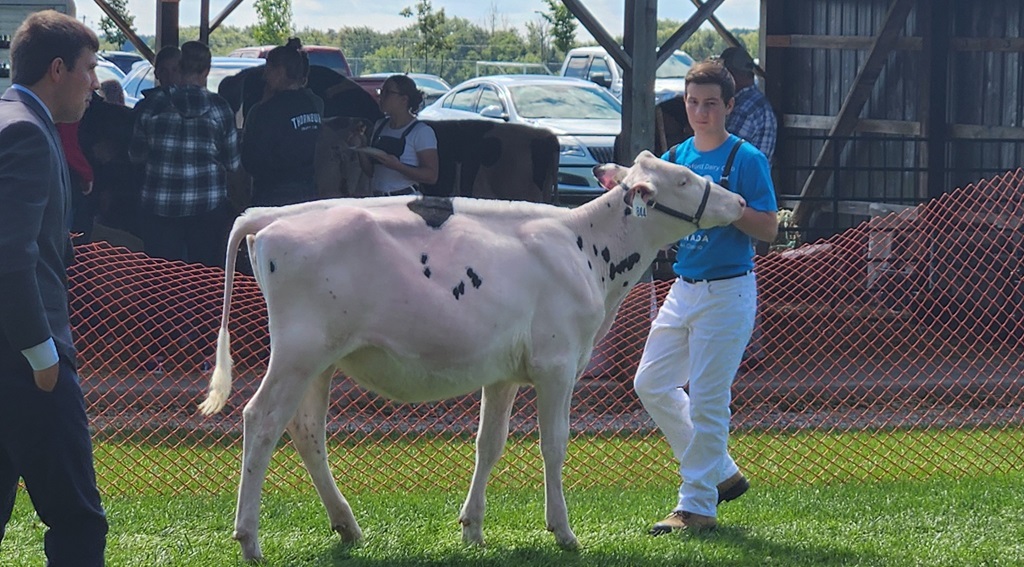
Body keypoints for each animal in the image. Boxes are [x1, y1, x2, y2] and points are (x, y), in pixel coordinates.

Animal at [197, 150, 746, 562]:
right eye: (682, 178)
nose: (739, 199)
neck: (584, 247)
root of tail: (272, 215)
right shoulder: (556, 365)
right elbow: (554, 446)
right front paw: (563, 531)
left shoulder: (502, 372)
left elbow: (489, 444)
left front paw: (473, 528)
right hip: (299, 352)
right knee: (261, 420)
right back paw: (249, 538)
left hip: (322, 359)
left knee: (306, 430)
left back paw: (346, 525)